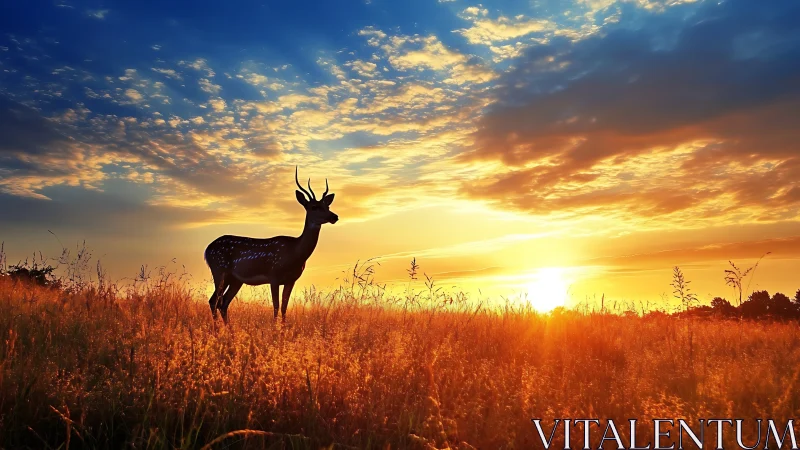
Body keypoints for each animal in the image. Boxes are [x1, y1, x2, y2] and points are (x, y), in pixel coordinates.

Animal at [204, 167, 338, 324]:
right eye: (314, 207)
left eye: (327, 205)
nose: (334, 216)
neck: (295, 253)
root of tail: (207, 250)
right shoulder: (274, 276)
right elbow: (276, 307)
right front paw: (275, 329)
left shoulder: (291, 280)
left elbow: (284, 308)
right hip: (219, 269)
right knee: (214, 300)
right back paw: (217, 329)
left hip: (235, 279)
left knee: (223, 302)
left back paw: (228, 329)